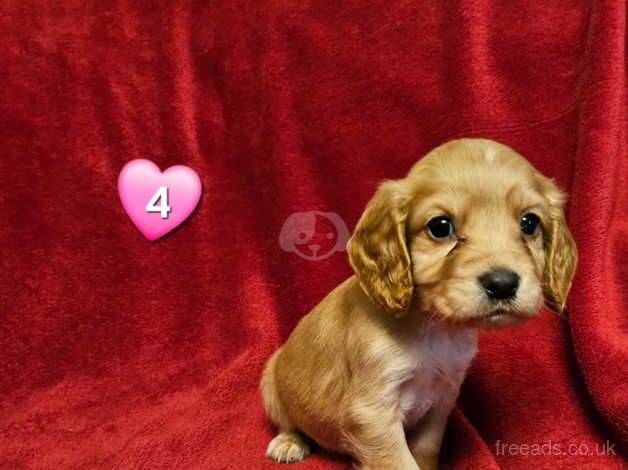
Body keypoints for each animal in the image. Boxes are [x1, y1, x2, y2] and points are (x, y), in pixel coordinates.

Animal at [260, 138, 580, 468]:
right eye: (440, 226)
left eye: (530, 223)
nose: (502, 284)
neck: (435, 330)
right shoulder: (372, 411)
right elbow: (399, 462)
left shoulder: (442, 397)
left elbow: (426, 449)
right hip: (270, 382)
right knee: (289, 421)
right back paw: (288, 442)